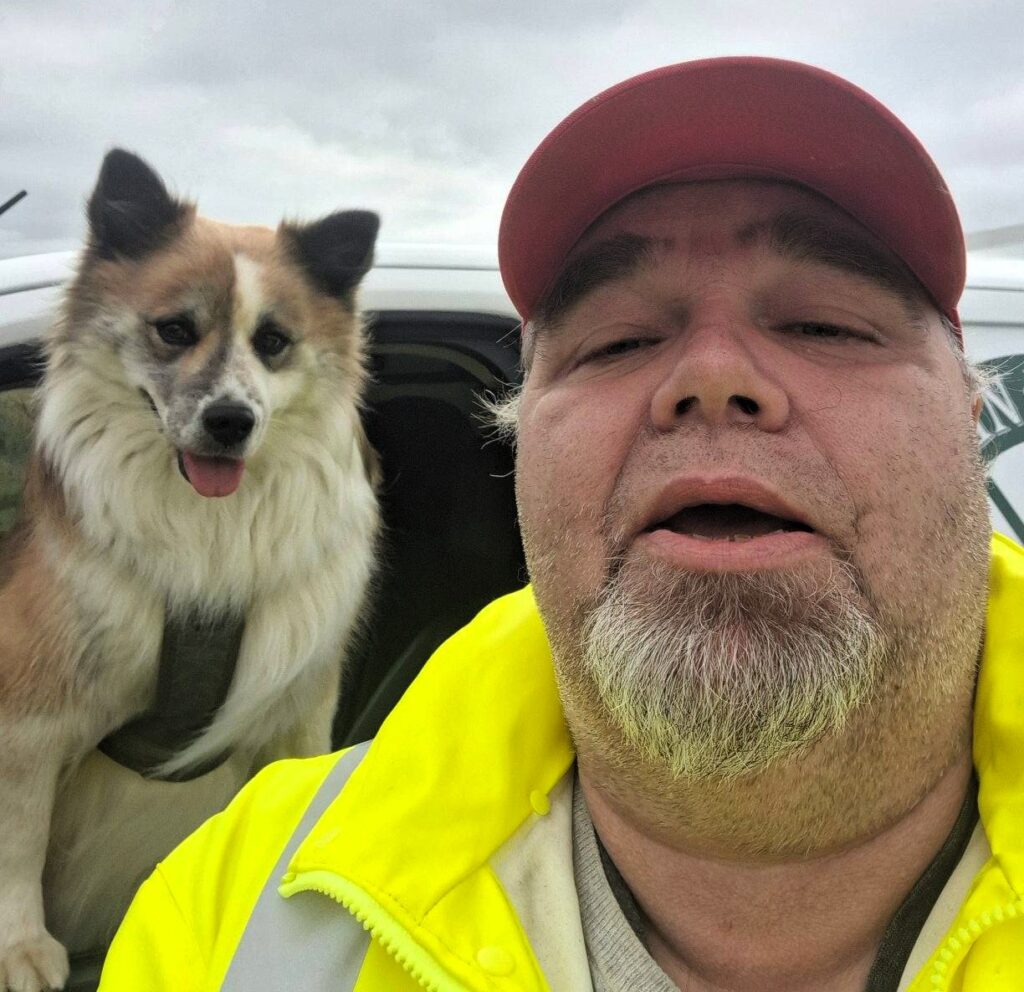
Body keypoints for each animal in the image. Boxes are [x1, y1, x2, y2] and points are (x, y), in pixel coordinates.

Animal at [0, 149, 381, 990]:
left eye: (274, 342)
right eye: (175, 331)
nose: (231, 422)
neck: (210, 532)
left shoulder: (299, 713)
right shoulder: (31, 712)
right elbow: (19, 835)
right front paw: (20, 947)